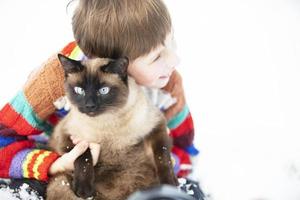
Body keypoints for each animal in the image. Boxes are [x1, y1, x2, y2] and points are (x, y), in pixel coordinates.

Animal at [46, 54, 178, 200]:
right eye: (79, 90)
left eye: (103, 91)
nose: (89, 106)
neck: (108, 122)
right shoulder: (66, 136)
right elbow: (83, 156)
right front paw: (84, 190)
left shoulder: (157, 126)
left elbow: (163, 158)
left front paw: (170, 184)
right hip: (59, 183)